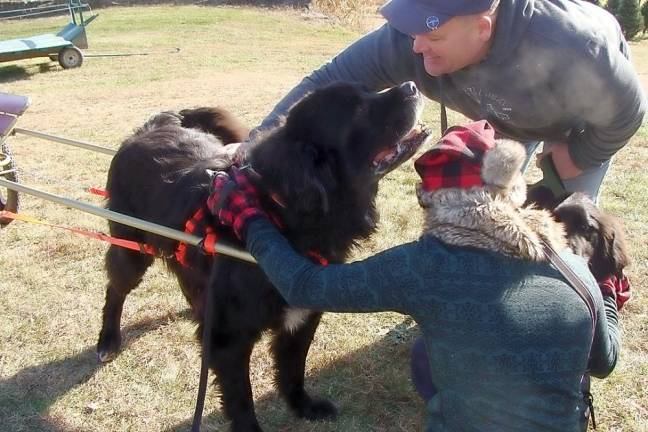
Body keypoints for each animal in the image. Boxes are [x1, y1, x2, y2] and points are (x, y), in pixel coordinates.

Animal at [96, 82, 430, 432]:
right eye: (358, 108)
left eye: (368, 91)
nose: (411, 85)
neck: (280, 215)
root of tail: (152, 125)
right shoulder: (228, 341)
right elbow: (241, 400)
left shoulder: (302, 316)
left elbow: (293, 369)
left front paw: (303, 406)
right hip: (131, 250)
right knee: (115, 289)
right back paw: (108, 340)